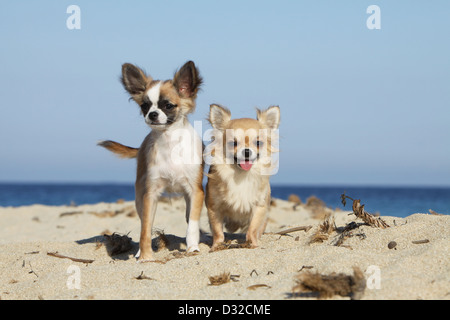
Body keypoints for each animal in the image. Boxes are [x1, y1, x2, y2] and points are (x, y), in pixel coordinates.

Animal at [100, 60, 204, 262]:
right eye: (144, 106)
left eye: (168, 105)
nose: (152, 114)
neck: (170, 141)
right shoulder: (150, 194)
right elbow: (145, 229)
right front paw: (146, 256)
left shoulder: (195, 191)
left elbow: (193, 224)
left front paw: (193, 247)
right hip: (140, 197)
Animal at [206, 105, 280, 250]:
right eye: (233, 143)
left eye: (258, 143)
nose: (246, 151)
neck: (241, 175)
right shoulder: (214, 207)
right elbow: (217, 230)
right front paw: (217, 245)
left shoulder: (260, 206)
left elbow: (253, 228)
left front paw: (252, 243)